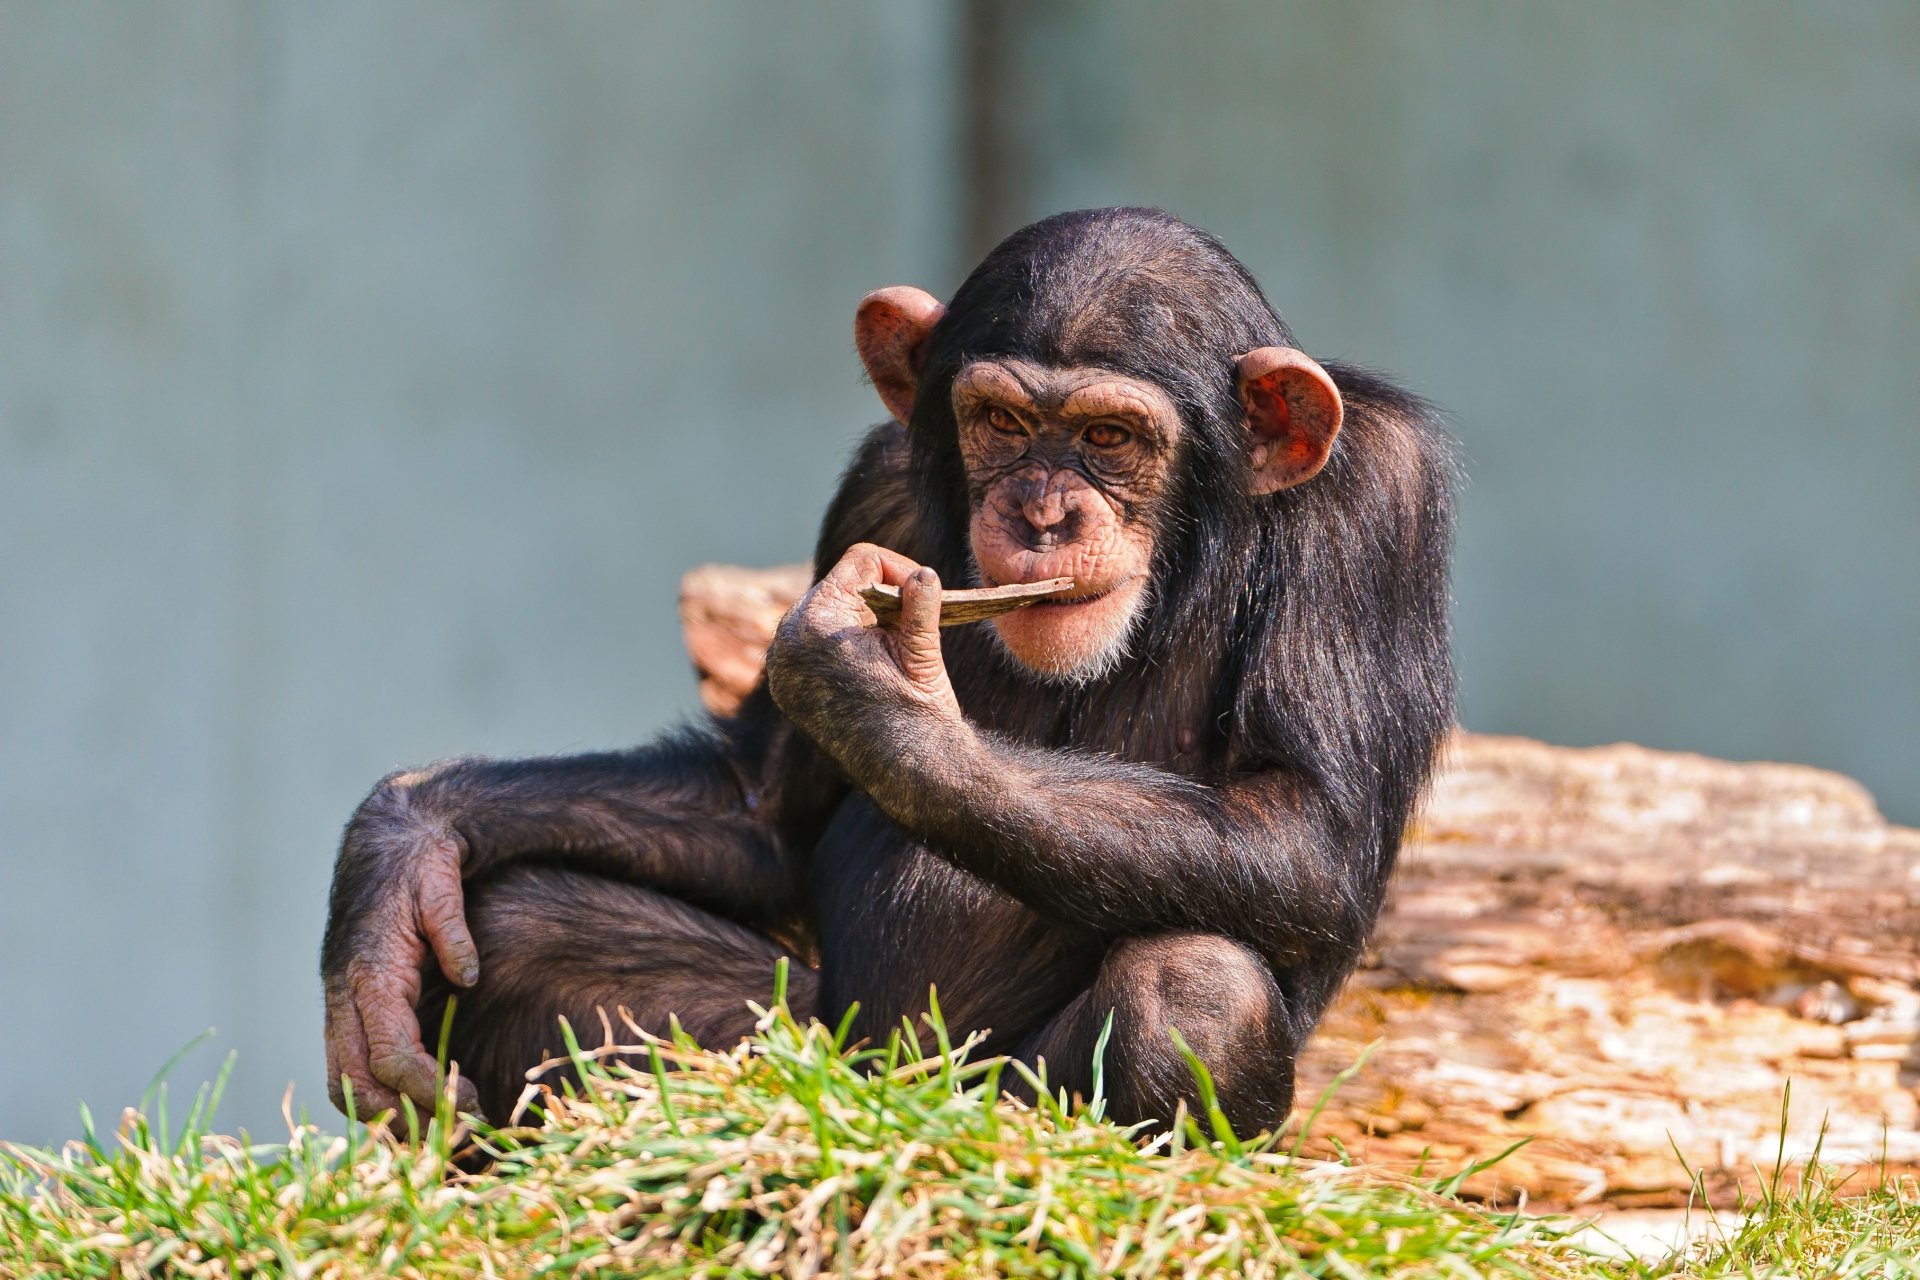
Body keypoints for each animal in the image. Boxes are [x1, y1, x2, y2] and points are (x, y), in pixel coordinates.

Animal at [321, 207, 1455, 1133]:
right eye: (1002, 422)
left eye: (1109, 435)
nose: (1043, 513)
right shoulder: (873, 495)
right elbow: (762, 804)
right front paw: (403, 841)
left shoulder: (1378, 504)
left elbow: (1302, 825)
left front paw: (877, 699)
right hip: (816, 1043)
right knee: (517, 927)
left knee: (1196, 987)